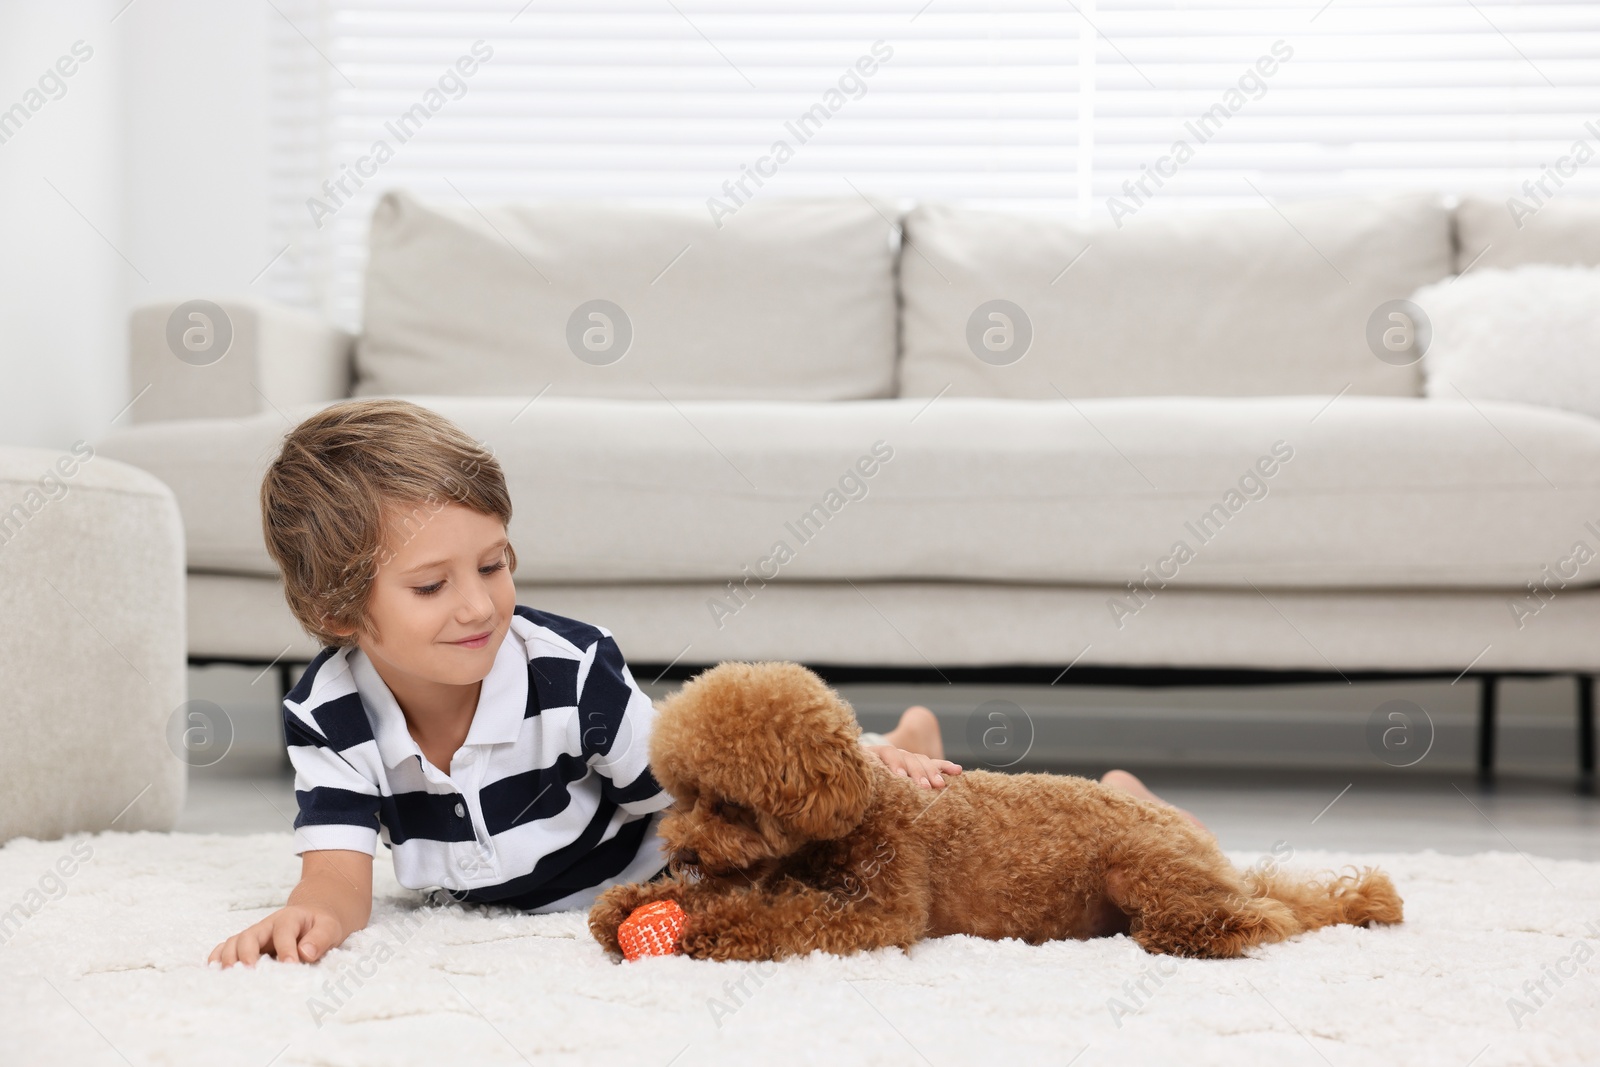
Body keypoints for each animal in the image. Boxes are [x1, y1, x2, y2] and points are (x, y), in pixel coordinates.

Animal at [592, 662, 1401, 966]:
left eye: (731, 805)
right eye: (683, 795)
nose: (684, 852)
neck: (857, 808)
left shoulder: (882, 909)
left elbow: (782, 914)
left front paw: (713, 927)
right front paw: (630, 904)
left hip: (1140, 865)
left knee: (1265, 914)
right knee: (1281, 897)